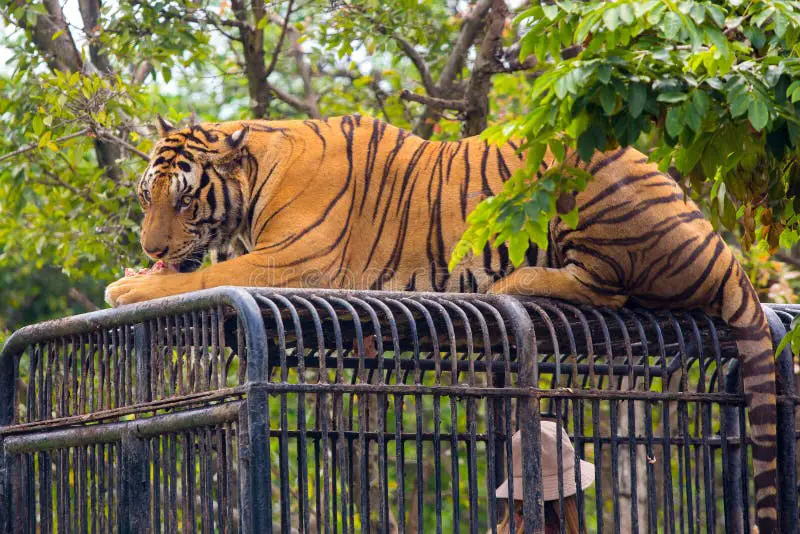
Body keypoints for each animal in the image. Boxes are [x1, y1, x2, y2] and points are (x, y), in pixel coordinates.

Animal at [103, 114, 780, 534]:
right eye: (144, 197)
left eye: (184, 200)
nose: (149, 245)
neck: (258, 175)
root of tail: (724, 252)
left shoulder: (291, 261)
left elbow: (201, 279)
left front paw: (128, 285)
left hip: (584, 182)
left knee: (610, 289)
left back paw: (515, 282)